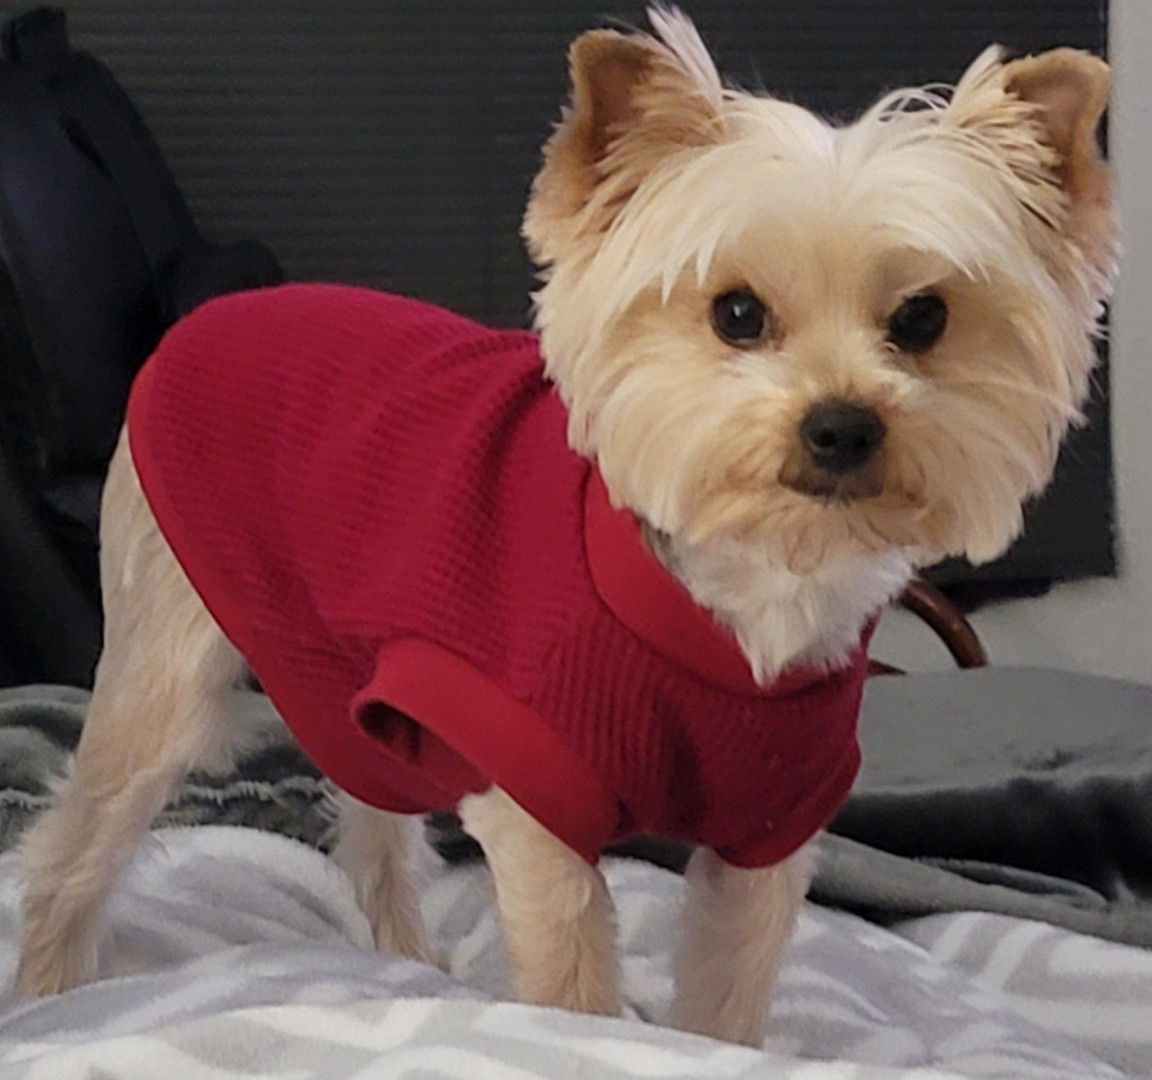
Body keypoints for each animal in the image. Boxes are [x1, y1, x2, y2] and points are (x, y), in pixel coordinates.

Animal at [15, 6, 1115, 1047]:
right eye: (737, 314)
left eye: (924, 320)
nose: (842, 425)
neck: (742, 589)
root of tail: (216, 313)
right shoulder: (537, 802)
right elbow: (569, 985)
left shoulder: (767, 835)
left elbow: (729, 993)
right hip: (169, 659)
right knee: (82, 832)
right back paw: (50, 990)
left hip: (348, 678)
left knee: (372, 829)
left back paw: (411, 962)